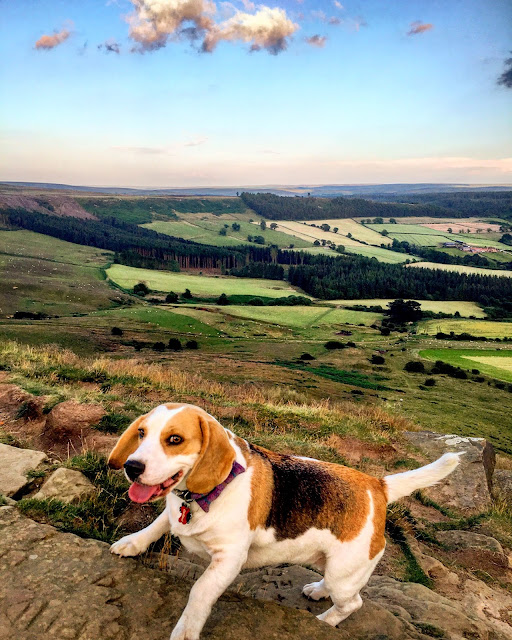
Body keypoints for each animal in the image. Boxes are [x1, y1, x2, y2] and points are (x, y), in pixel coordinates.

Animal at [108, 402, 460, 636]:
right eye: (141, 433)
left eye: (175, 440)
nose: (132, 467)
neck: (204, 495)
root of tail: (377, 485)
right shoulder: (174, 511)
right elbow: (158, 524)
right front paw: (132, 543)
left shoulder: (228, 560)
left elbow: (199, 593)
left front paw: (185, 631)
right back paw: (317, 590)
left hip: (345, 573)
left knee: (352, 603)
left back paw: (324, 621)